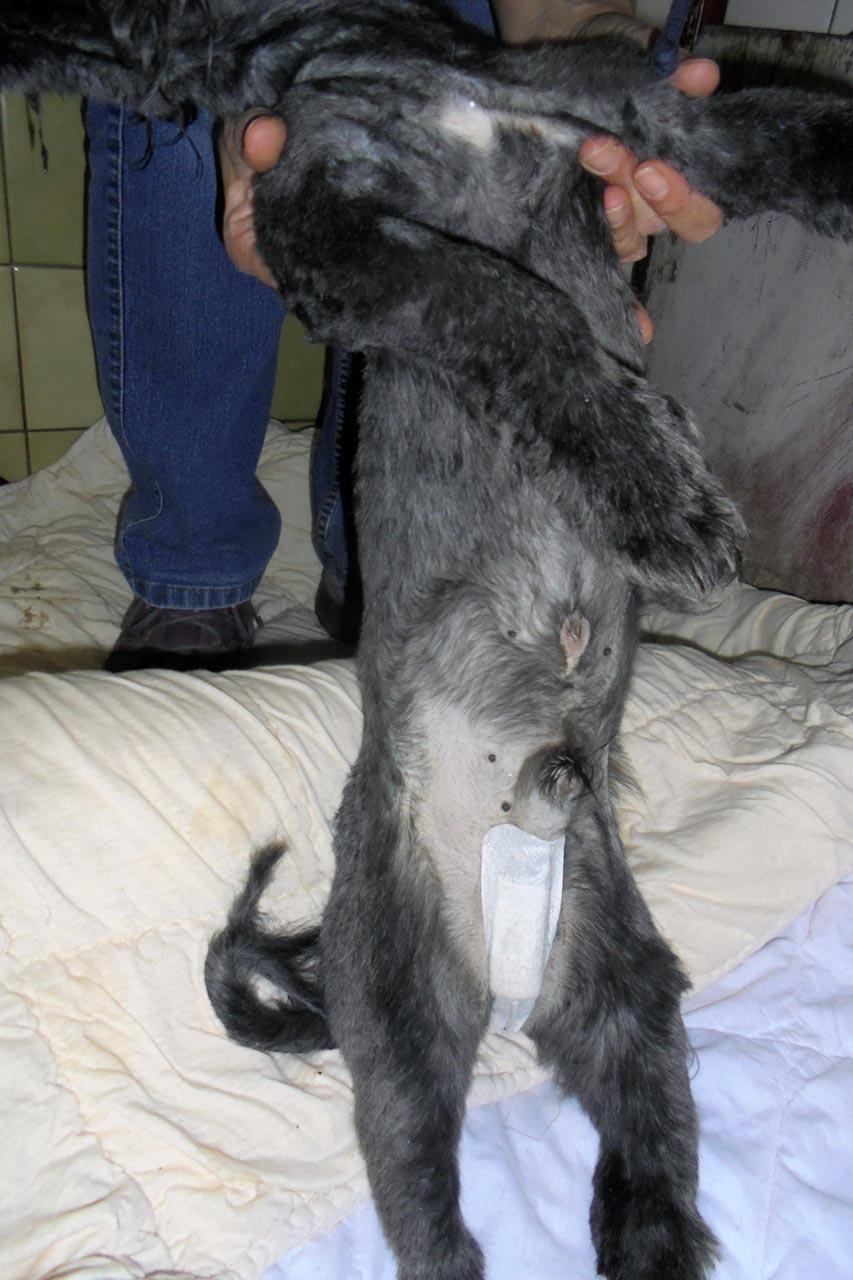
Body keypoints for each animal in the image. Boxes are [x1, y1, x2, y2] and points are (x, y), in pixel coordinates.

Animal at [4, 4, 851, 1277]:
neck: (380, 53)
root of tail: (511, 987)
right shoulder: (340, 240)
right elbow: (503, 307)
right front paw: (657, 489)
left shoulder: (652, 123)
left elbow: (796, 135)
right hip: (402, 1022)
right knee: (429, 1213)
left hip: (627, 993)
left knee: (648, 1147)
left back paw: (646, 1236)